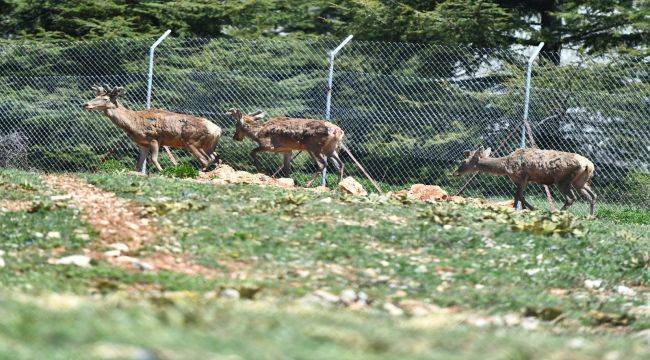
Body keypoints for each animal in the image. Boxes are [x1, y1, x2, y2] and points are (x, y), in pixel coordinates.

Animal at [83, 86, 221, 173]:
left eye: (105, 99)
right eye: (95, 96)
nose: (86, 104)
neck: (133, 124)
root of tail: (218, 130)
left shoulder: (154, 139)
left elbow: (154, 159)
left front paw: (163, 171)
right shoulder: (142, 144)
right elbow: (138, 165)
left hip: (191, 141)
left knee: (206, 160)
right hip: (207, 145)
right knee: (215, 157)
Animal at [450, 146, 596, 214]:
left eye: (464, 161)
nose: (455, 173)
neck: (505, 166)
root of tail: (588, 165)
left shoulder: (521, 177)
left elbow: (518, 196)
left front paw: (526, 209)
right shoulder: (525, 179)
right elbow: (520, 196)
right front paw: (525, 208)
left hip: (563, 180)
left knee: (571, 198)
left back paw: (556, 213)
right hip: (580, 182)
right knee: (592, 196)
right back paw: (591, 216)